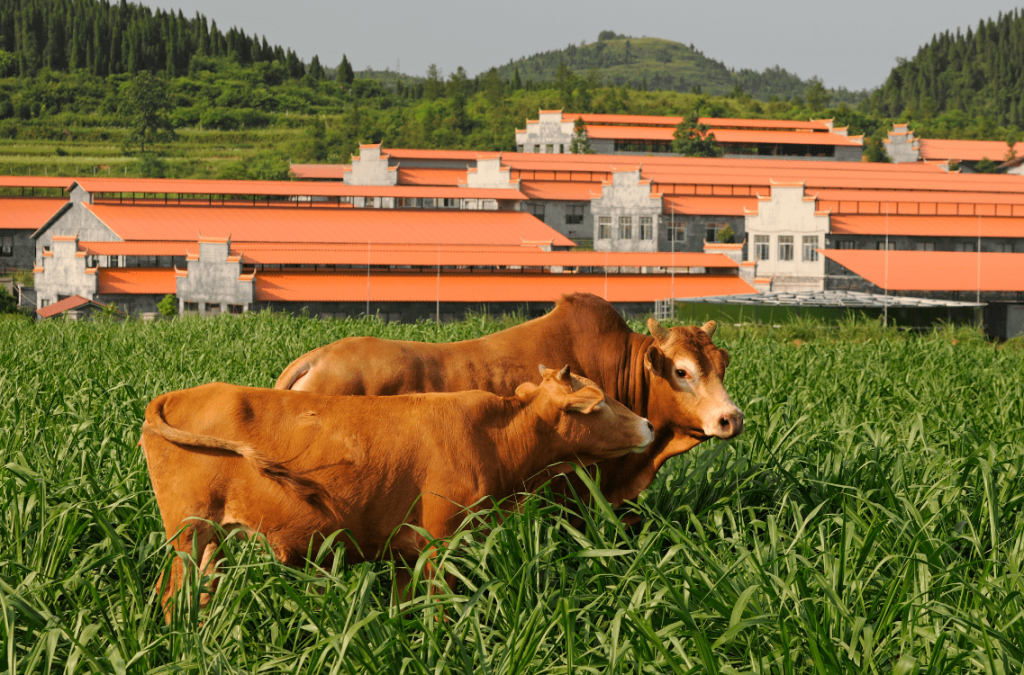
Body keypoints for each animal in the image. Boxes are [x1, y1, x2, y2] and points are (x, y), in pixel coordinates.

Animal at [140, 366, 651, 614]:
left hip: (213, 539)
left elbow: (402, 610)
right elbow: (437, 611)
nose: (647, 424)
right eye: (598, 403)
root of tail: (182, 394)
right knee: (171, 597)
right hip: (188, 532)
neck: (494, 435)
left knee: (199, 594)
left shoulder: (407, 553)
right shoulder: (443, 542)